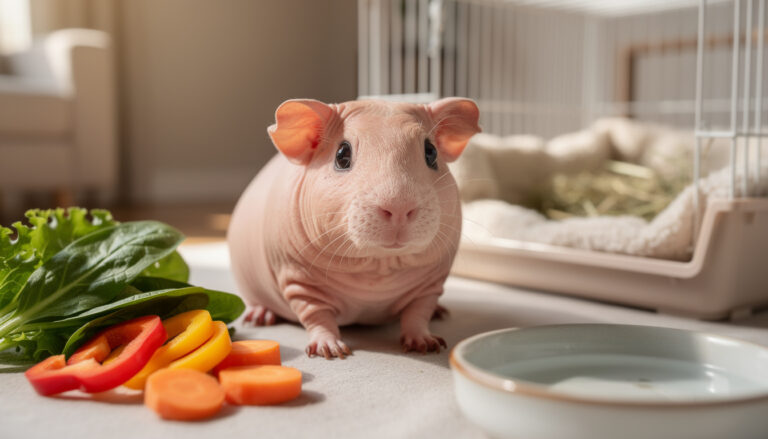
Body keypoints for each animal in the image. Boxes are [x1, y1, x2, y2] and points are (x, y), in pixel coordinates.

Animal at [227, 98, 480, 359]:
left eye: (431, 152)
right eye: (342, 155)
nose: (399, 209)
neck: (378, 266)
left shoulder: (430, 285)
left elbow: (418, 313)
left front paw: (425, 342)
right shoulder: (298, 281)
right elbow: (316, 315)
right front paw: (329, 348)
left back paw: (440, 312)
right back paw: (260, 315)